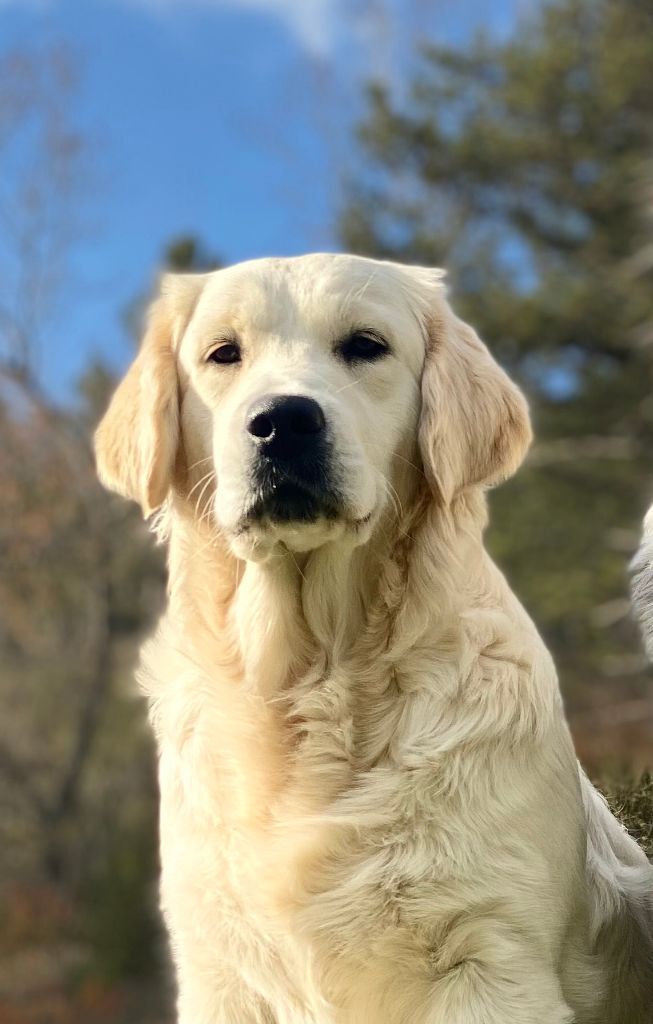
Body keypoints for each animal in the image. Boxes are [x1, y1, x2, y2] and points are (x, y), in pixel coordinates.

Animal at [94, 256, 650, 1024]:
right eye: (223, 353)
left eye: (365, 345)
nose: (283, 422)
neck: (315, 675)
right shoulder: (221, 974)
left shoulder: (491, 956)